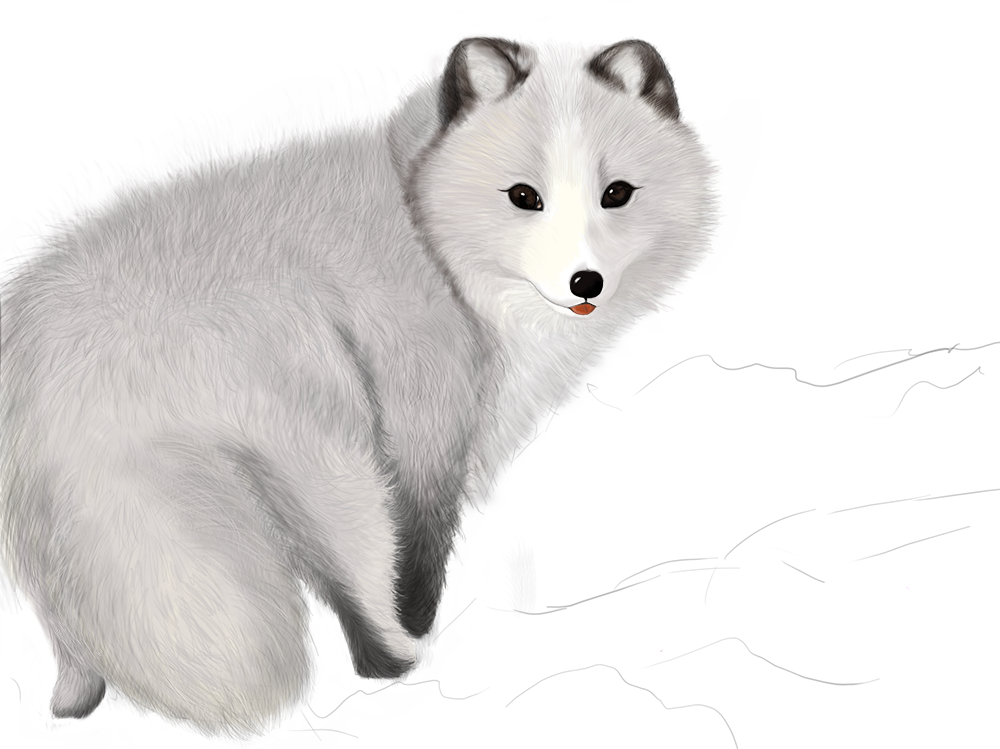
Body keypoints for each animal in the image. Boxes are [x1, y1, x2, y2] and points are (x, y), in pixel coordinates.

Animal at [0, 34, 722, 742]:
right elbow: (423, 552)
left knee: (68, 642)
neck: (425, 222)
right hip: (339, 461)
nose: (585, 283)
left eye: (617, 193)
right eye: (524, 197)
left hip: (37, 553)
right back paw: (392, 666)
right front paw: (423, 626)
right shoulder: (428, 432)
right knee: (360, 574)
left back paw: (69, 708)